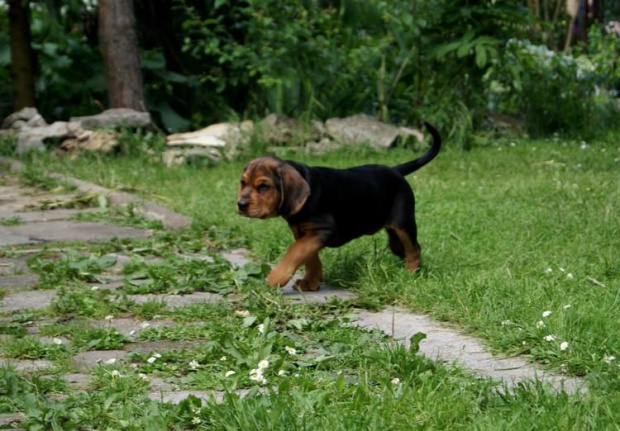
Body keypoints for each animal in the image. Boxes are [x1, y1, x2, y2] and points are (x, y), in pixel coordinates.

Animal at [236, 124, 440, 294]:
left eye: (264, 186)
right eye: (242, 183)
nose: (241, 205)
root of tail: (395, 171)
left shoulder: (324, 230)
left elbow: (296, 250)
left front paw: (276, 277)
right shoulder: (305, 232)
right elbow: (309, 256)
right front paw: (311, 282)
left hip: (403, 223)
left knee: (414, 249)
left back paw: (411, 274)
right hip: (394, 239)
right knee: (406, 248)